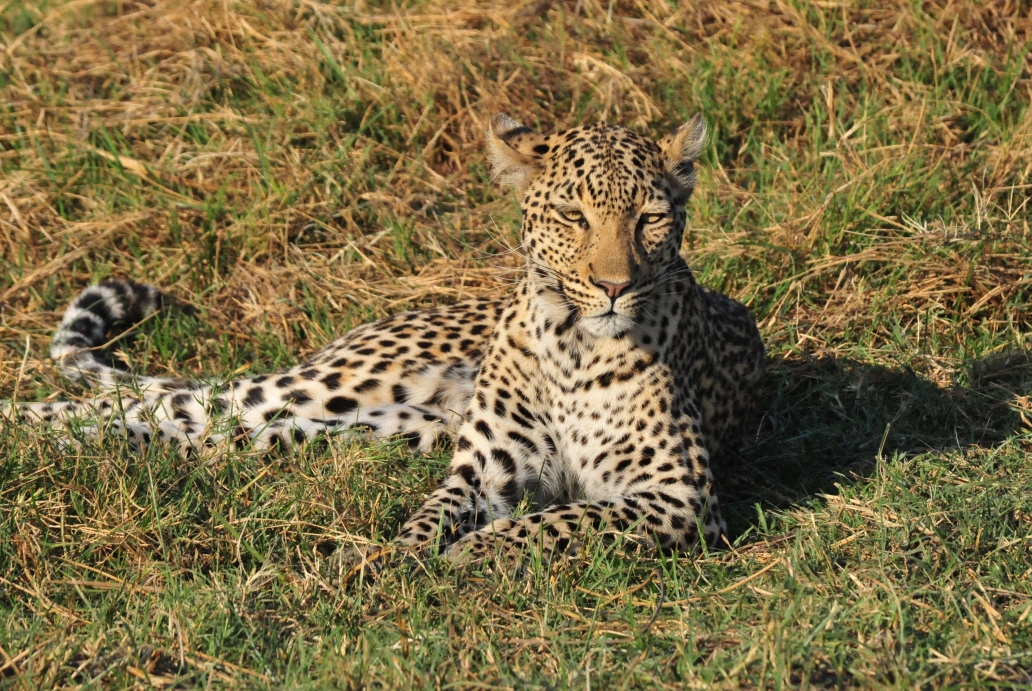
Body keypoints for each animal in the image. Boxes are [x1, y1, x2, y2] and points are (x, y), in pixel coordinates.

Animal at [2, 112, 767, 569]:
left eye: (649, 218)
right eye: (572, 215)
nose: (612, 286)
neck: (574, 346)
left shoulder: (679, 494)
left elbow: (565, 520)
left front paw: (468, 553)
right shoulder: (483, 470)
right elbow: (435, 518)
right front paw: (398, 556)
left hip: (341, 426)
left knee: (178, 423)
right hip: (332, 384)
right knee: (160, 402)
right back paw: (27, 429)